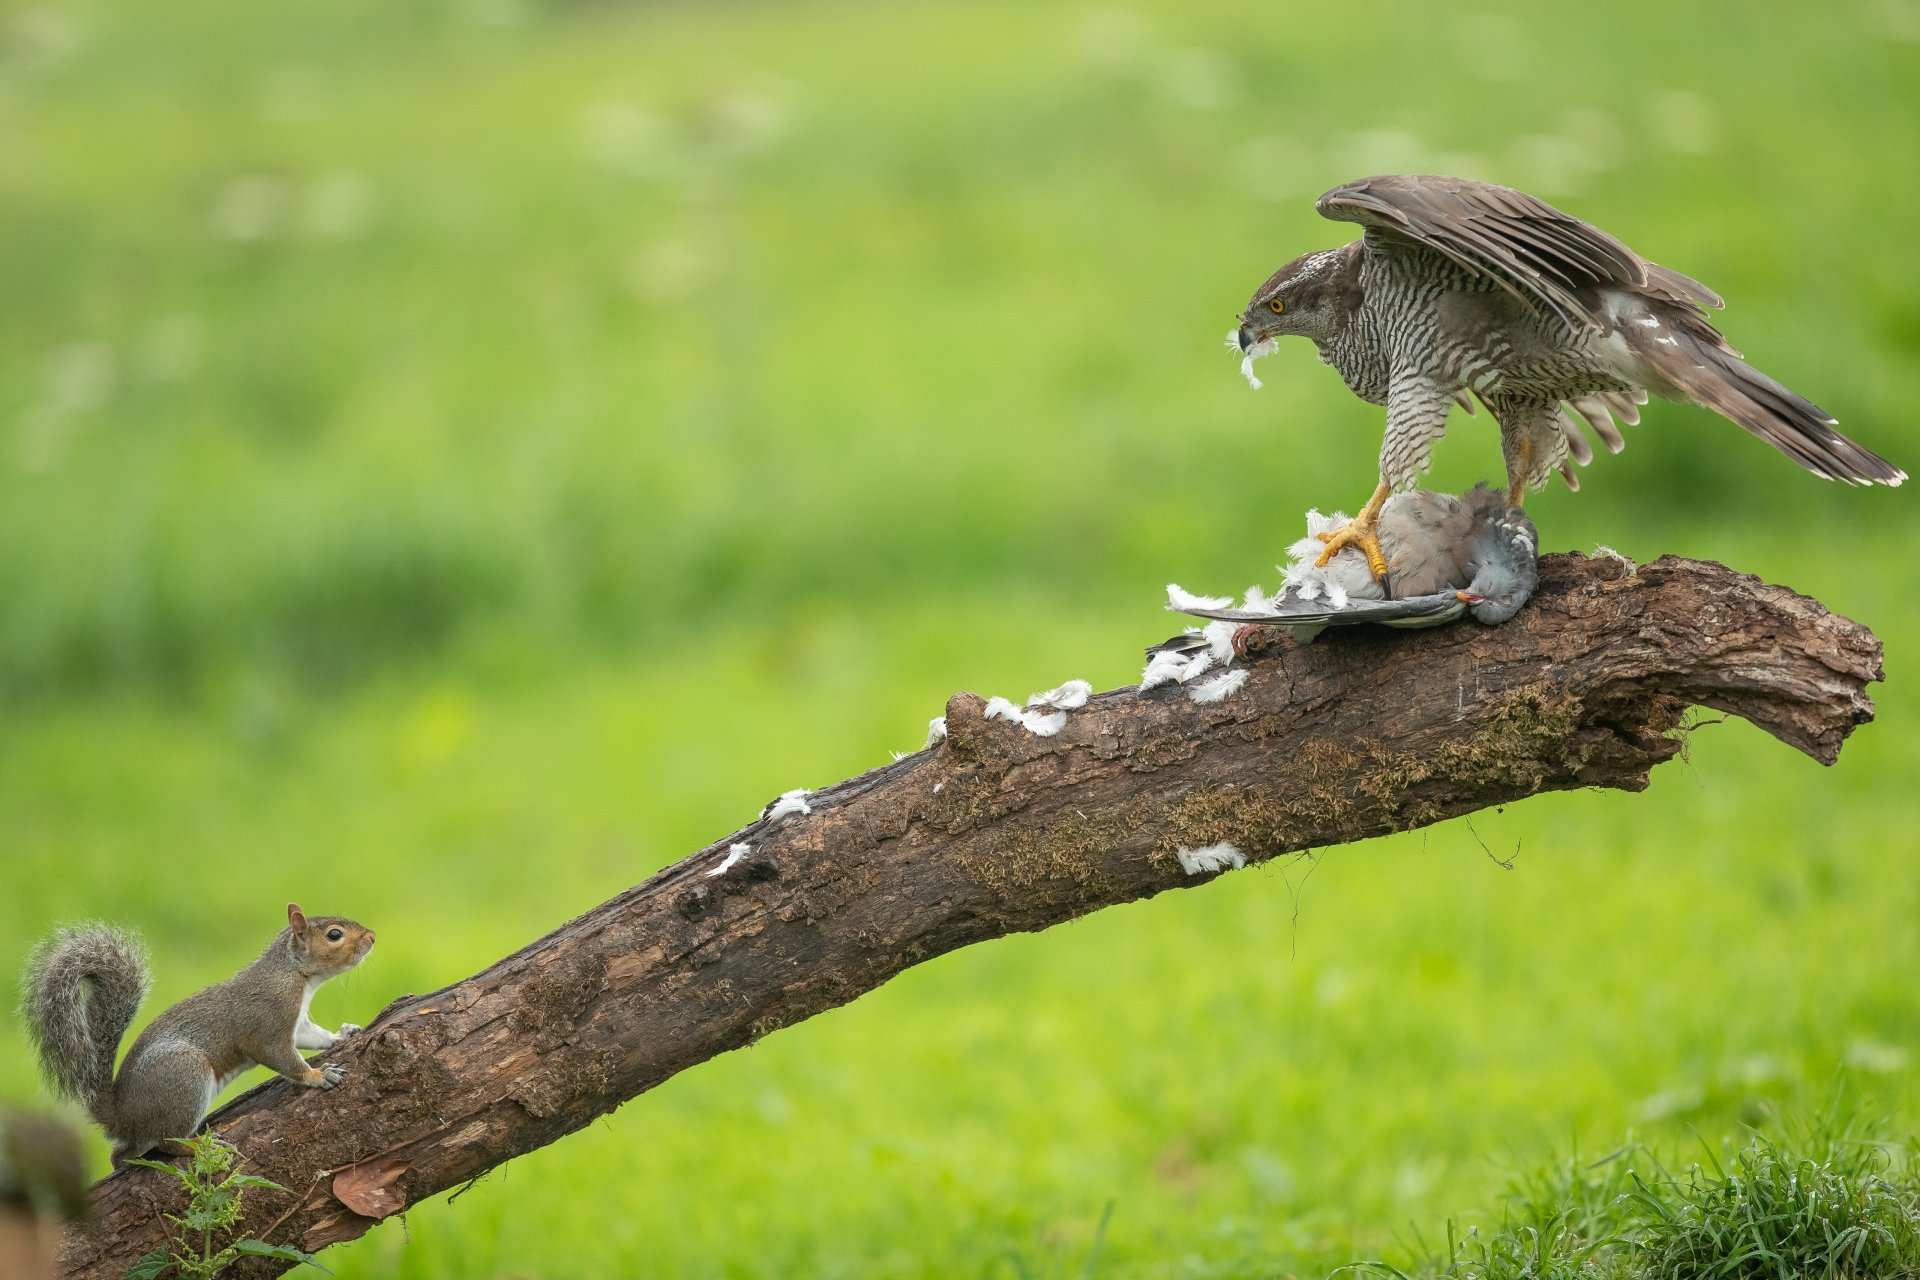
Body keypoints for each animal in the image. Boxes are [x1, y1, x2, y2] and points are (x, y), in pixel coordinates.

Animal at [18, 904, 375, 1168]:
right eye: (334, 935)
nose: (372, 937)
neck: (293, 974)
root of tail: (120, 1114)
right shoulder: (266, 1024)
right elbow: (281, 1057)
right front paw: (317, 1075)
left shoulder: (297, 1025)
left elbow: (312, 1037)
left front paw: (341, 1035)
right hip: (185, 1074)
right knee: (167, 1141)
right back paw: (200, 1146)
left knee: (121, 1153)